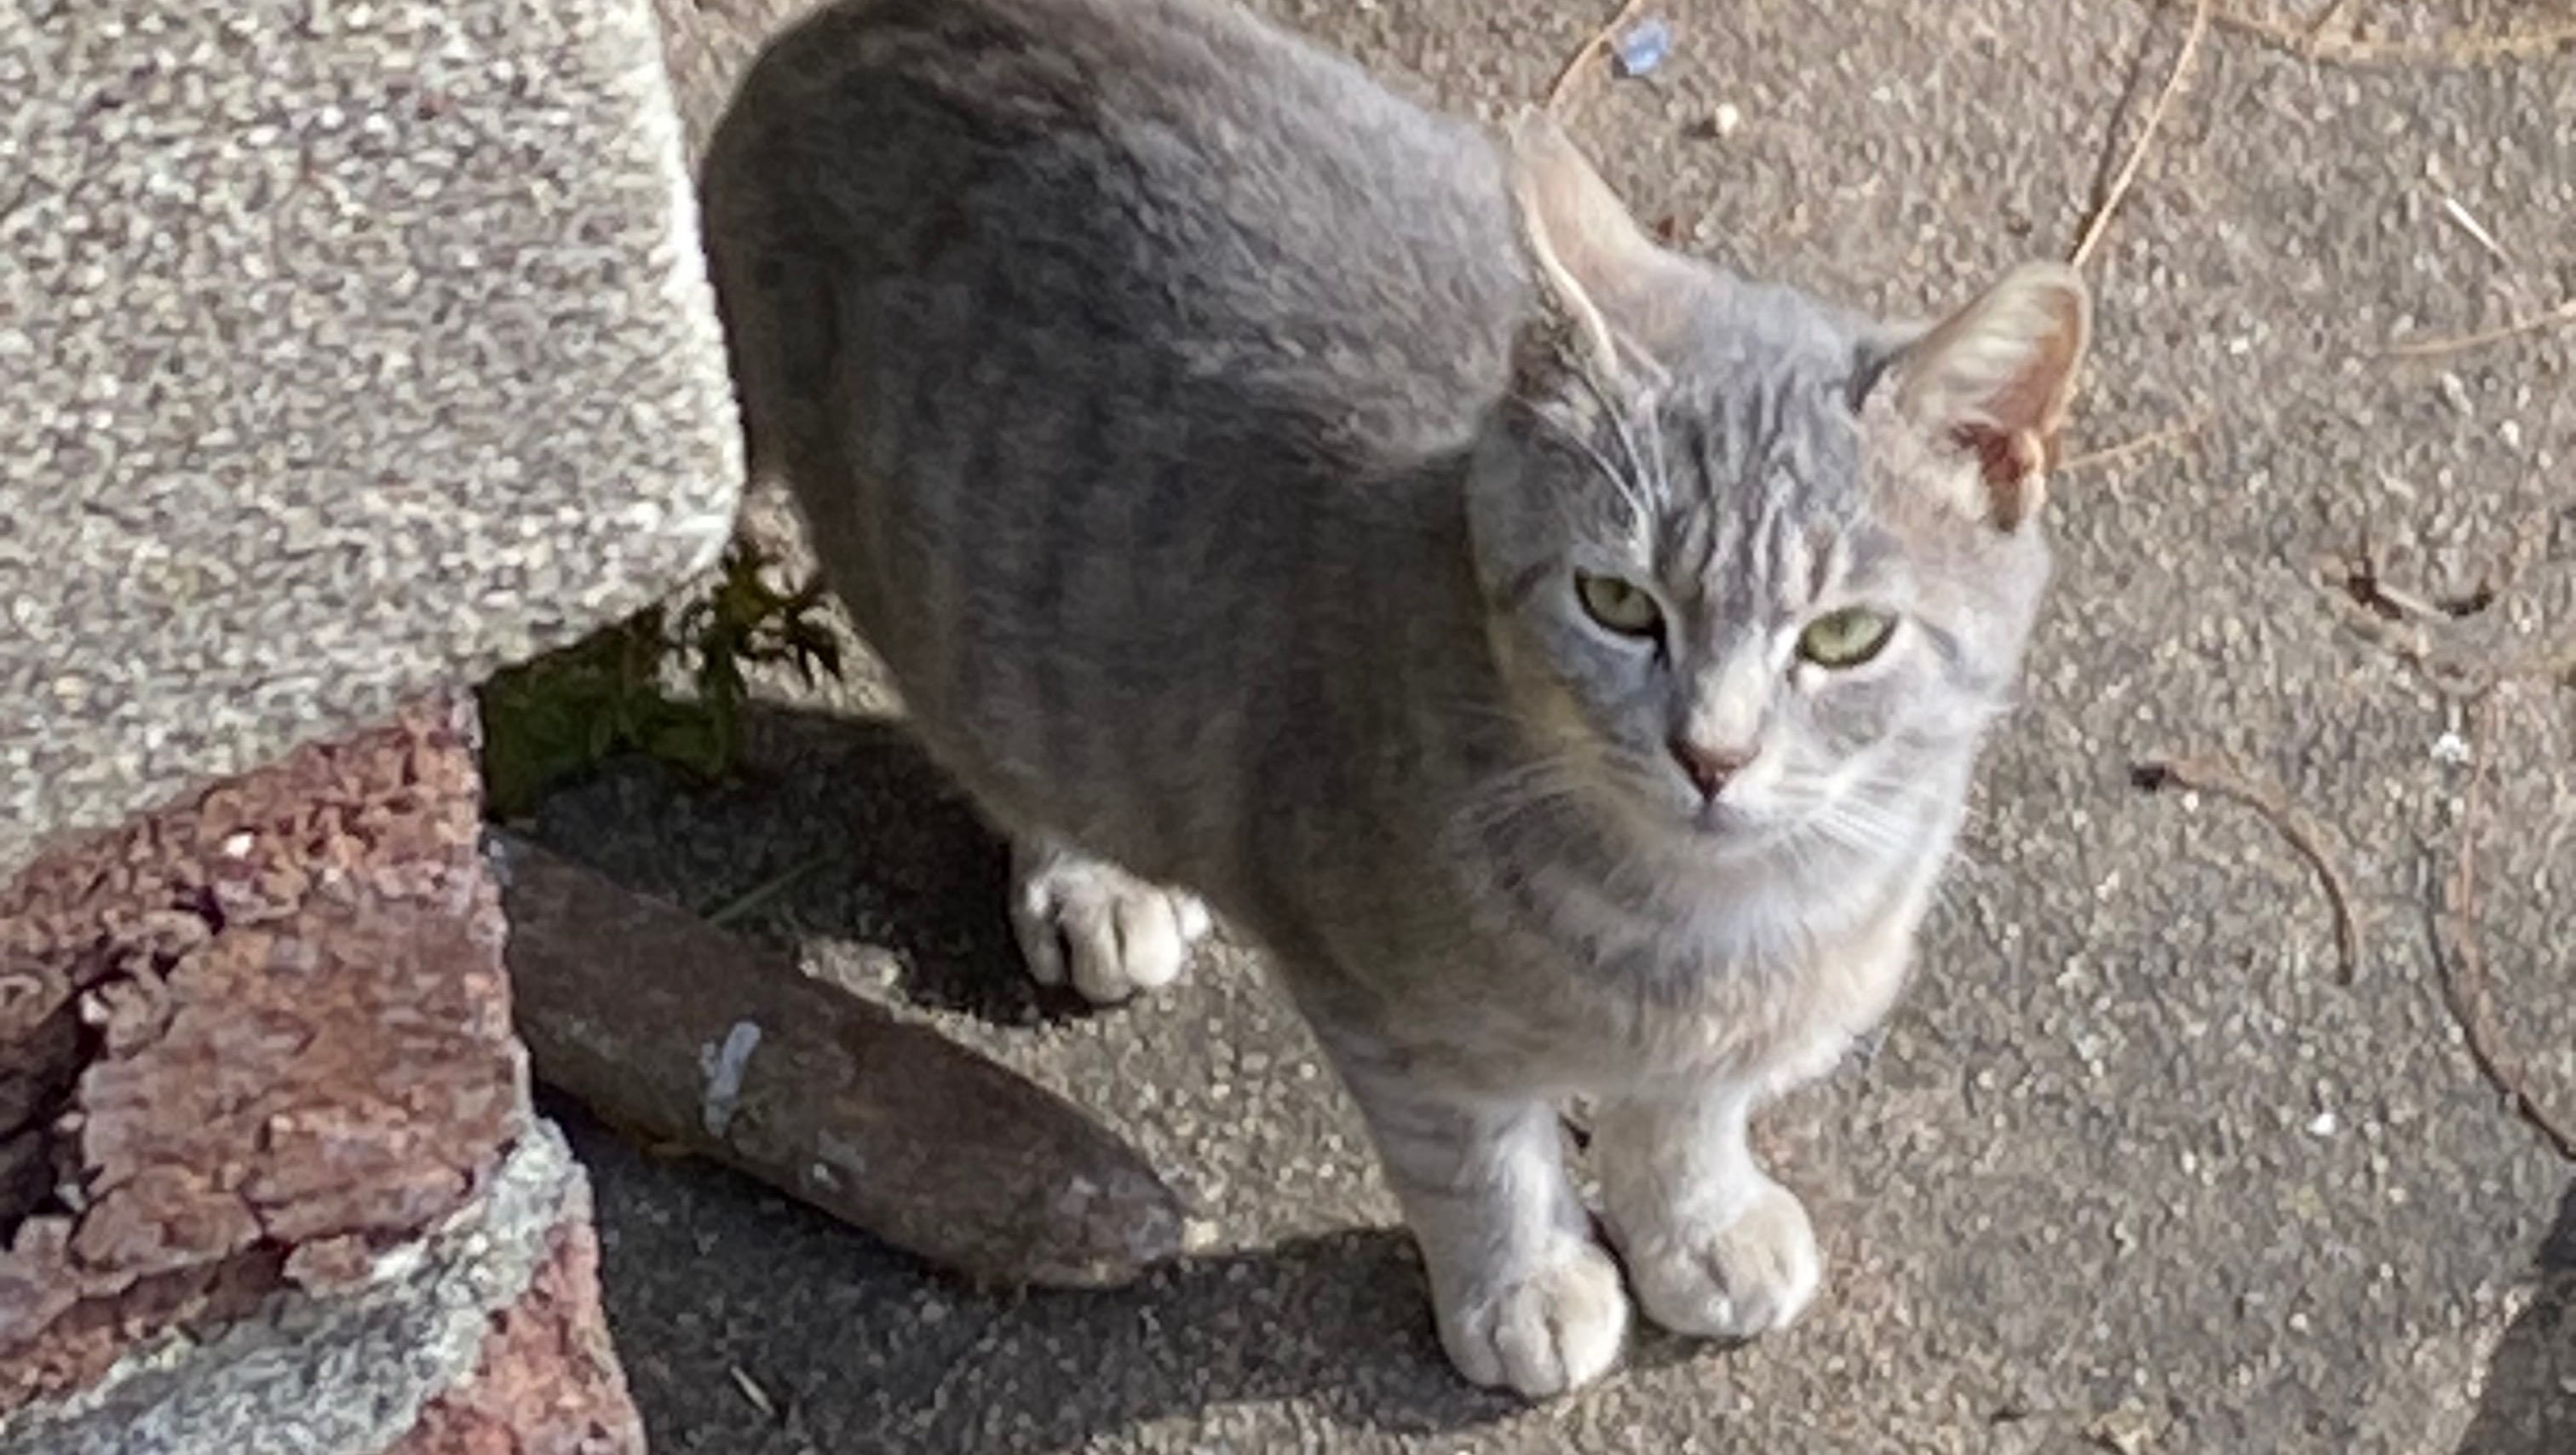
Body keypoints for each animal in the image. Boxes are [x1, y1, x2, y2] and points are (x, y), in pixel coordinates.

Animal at [700, 0, 2087, 1399]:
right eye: (1619, 603)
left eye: (1846, 635)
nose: (1712, 753)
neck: (1714, 927)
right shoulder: (1389, 1014)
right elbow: (1473, 1162)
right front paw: (1523, 1286)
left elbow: (1687, 1114)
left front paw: (1699, 1220)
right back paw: (1094, 879)